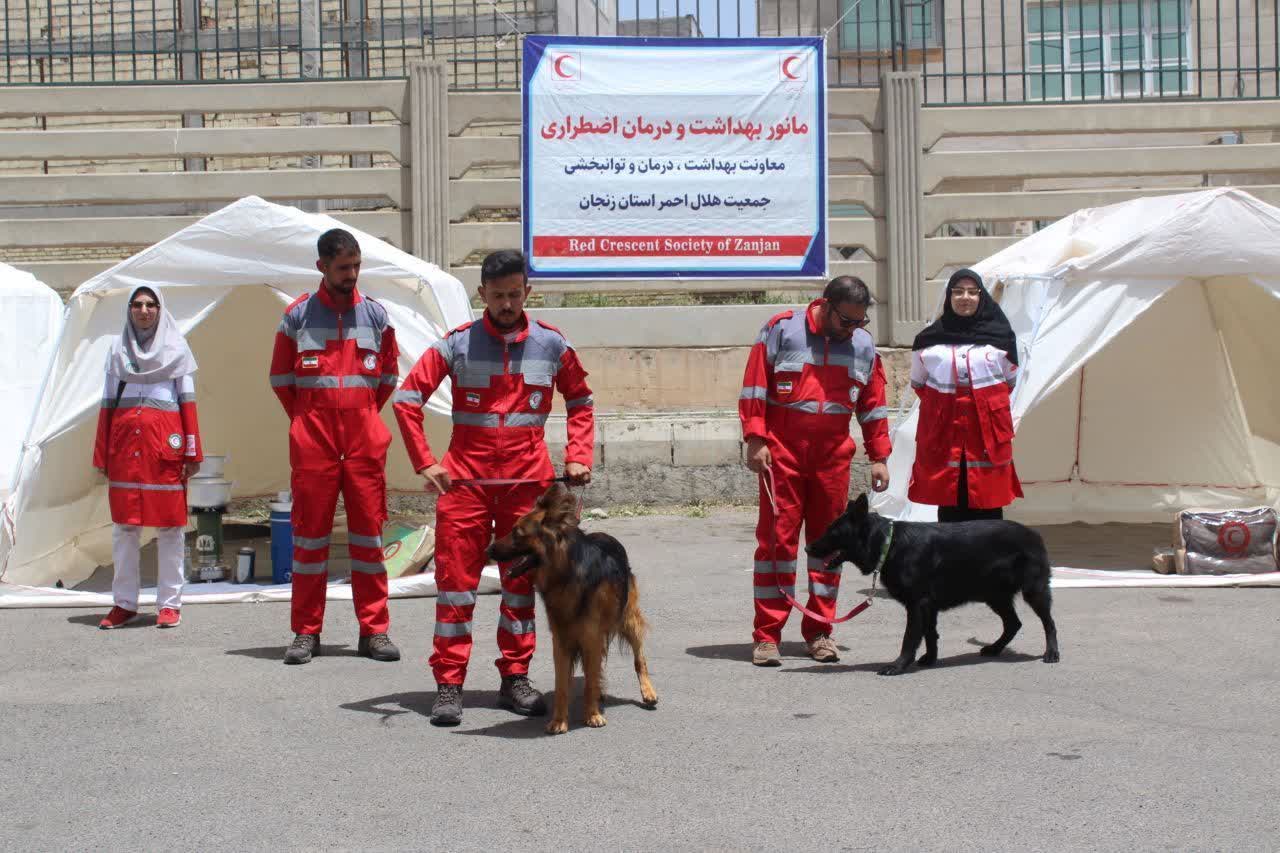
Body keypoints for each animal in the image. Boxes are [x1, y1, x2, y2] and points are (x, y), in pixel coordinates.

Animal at [488, 483, 658, 734]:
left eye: (518, 533)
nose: (487, 551)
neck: (565, 575)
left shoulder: (591, 635)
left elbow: (590, 679)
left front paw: (592, 715)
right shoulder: (562, 640)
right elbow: (562, 685)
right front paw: (559, 720)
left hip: (628, 619)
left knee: (639, 658)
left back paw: (647, 692)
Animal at [805, 494, 1060, 675]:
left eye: (833, 532)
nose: (807, 548)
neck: (889, 544)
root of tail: (1035, 534)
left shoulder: (917, 605)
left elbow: (910, 638)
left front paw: (898, 666)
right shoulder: (928, 606)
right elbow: (930, 634)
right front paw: (930, 659)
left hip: (1033, 592)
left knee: (1049, 623)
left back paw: (1052, 653)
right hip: (994, 596)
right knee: (1013, 624)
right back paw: (995, 649)